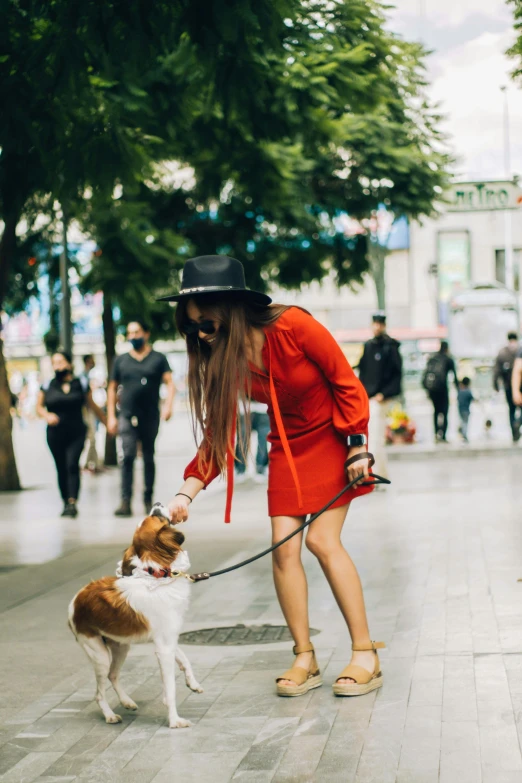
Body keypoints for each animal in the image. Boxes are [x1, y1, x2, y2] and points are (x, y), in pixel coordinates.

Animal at [67, 502, 201, 728]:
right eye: (157, 517)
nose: (156, 504)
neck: (159, 578)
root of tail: (75, 600)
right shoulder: (164, 647)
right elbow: (170, 688)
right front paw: (174, 720)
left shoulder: (168, 638)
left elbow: (184, 659)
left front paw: (193, 682)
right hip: (99, 653)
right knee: (99, 693)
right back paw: (110, 715)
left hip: (121, 646)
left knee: (113, 675)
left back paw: (126, 701)